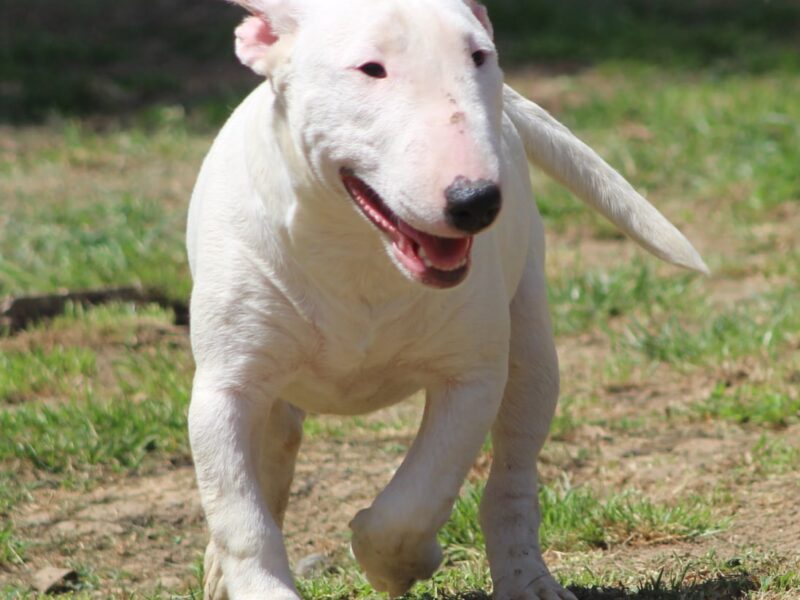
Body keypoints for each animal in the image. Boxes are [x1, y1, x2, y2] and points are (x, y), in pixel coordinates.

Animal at [186, 1, 708, 600]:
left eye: (479, 56)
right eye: (371, 68)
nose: (477, 202)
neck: (357, 252)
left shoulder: (471, 377)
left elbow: (417, 496)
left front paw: (394, 562)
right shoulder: (224, 389)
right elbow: (239, 512)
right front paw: (254, 578)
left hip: (530, 346)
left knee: (512, 478)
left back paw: (526, 577)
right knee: (272, 451)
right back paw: (218, 569)